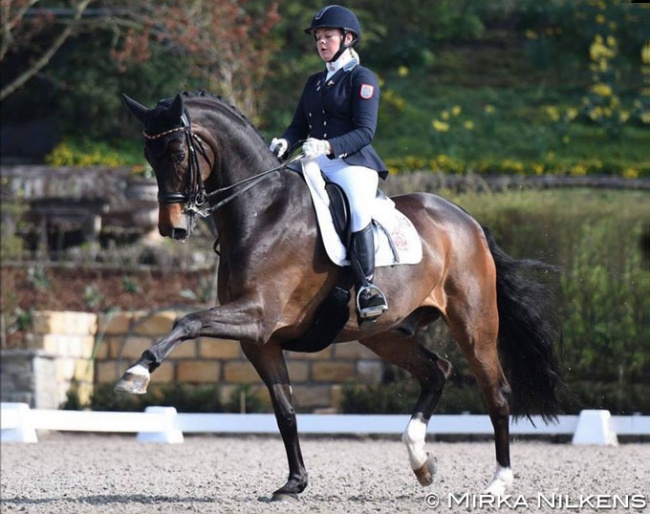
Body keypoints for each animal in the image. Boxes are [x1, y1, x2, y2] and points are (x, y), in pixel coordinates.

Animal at [117, 91, 560, 500]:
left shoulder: (257, 316)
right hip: (385, 334)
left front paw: (136, 373)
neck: (263, 211)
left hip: (473, 322)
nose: (172, 228)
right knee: (438, 371)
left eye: (177, 152)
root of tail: (467, 220)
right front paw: (294, 483)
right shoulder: (260, 341)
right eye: (148, 155)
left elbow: (187, 321)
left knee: (496, 393)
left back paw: (498, 483)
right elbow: (285, 411)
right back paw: (421, 462)